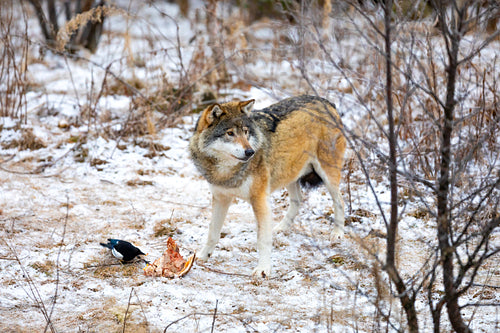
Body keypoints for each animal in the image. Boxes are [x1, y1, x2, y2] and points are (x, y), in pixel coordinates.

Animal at [189, 94, 346, 276]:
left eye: (246, 132)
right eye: (230, 133)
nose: (250, 152)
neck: (226, 171)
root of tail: (326, 101)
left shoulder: (259, 199)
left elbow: (262, 240)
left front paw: (263, 269)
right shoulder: (221, 198)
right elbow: (212, 232)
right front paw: (202, 256)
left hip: (327, 174)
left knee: (339, 201)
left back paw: (338, 233)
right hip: (288, 173)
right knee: (298, 200)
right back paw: (281, 227)